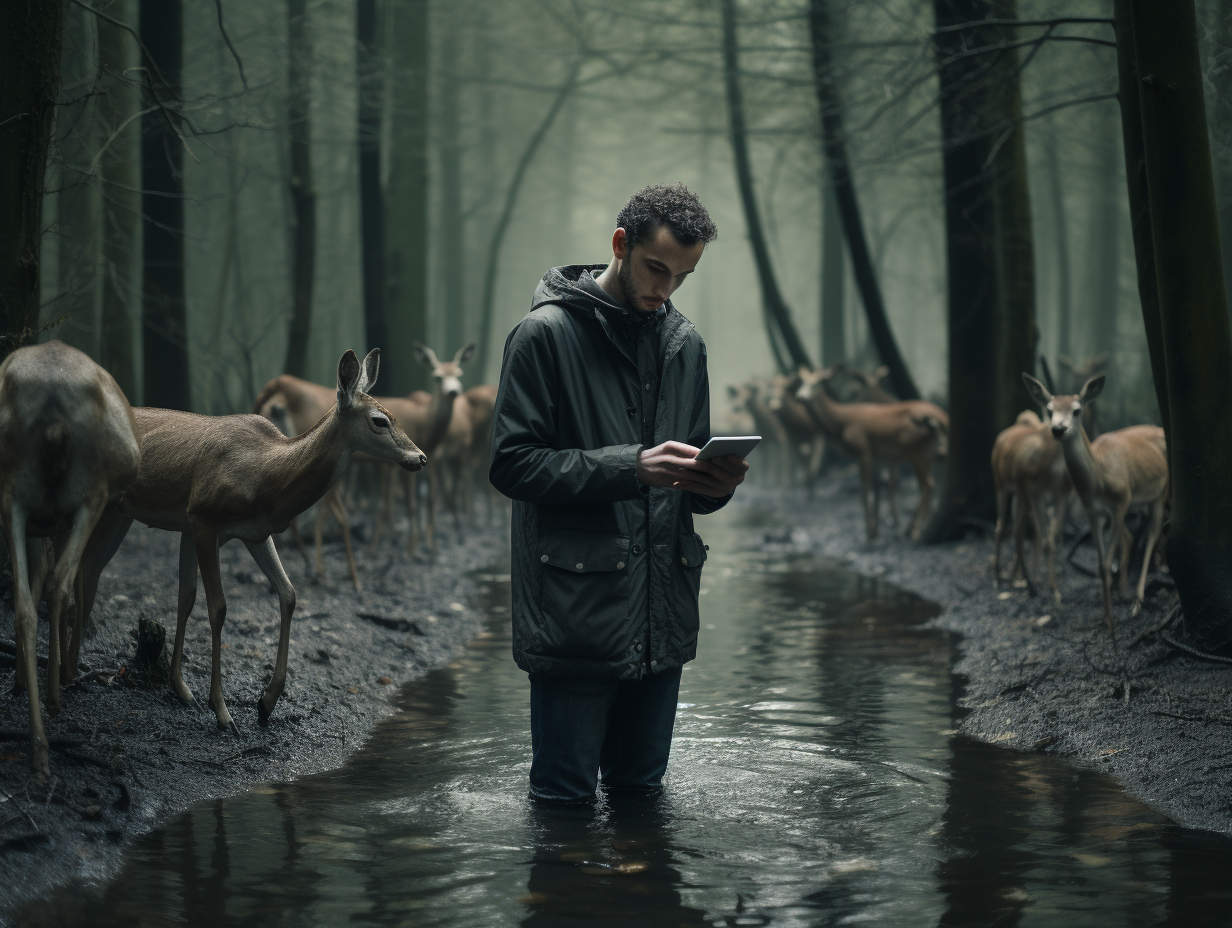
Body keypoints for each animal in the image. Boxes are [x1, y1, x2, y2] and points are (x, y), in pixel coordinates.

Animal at [0, 340, 141, 788]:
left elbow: (34, 581)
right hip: (91, 491)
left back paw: (39, 747)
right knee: (62, 581)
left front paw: (21, 680)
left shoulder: (38, 521)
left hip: (12, 492)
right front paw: (62, 675)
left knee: (25, 604)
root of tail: (53, 417)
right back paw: (56, 696)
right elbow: (61, 580)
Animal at [83, 347, 423, 729]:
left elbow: (281, 594)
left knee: (88, 573)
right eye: (380, 420)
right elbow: (217, 607)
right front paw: (222, 712)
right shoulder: (203, 518)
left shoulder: (252, 532)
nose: (421, 457)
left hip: (121, 513)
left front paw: (263, 702)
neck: (266, 476)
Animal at [793, 364, 946, 539]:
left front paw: (869, 534)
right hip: (929, 455)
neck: (841, 424)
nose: (799, 396)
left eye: (818, 383)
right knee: (932, 485)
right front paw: (877, 530)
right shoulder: (877, 455)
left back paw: (911, 529)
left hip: (917, 453)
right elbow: (878, 489)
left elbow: (865, 495)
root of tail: (944, 418)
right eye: (801, 382)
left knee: (927, 486)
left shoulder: (863, 450)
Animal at [985, 406, 1074, 596]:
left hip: (1018, 495)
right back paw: (999, 576)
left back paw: (1018, 576)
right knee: (1002, 527)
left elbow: (1039, 535)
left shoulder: (1049, 497)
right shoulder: (1031, 494)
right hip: (1001, 485)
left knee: (1017, 529)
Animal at [1025, 372, 1167, 635]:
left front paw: (1112, 625)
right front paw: (1106, 617)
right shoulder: (1092, 511)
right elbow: (1101, 565)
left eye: (1076, 410)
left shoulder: (1121, 500)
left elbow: (1106, 563)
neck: (1099, 478)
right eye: (1049, 409)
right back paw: (1124, 591)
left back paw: (1138, 601)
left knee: (1153, 532)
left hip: (1161, 490)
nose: (1058, 429)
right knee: (1132, 537)